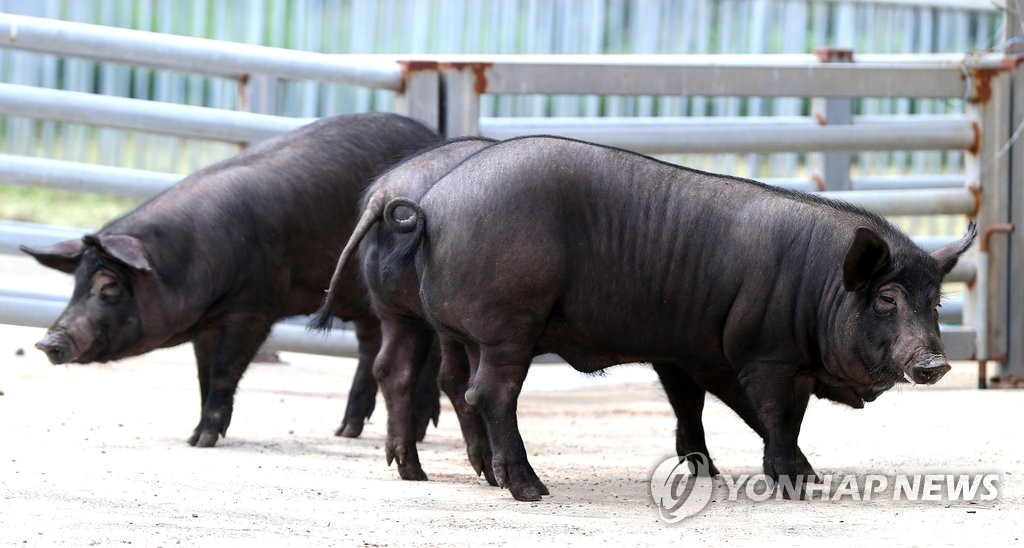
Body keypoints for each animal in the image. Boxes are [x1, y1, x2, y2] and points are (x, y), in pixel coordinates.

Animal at [20, 113, 444, 448]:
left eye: (109, 288)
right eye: (75, 286)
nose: (47, 342)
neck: (188, 260)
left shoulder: (253, 308)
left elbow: (225, 372)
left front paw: (204, 441)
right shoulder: (207, 324)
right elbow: (204, 376)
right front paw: (192, 438)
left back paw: (416, 431)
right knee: (371, 345)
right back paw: (345, 431)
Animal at [393, 137, 974, 501]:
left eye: (936, 303)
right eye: (887, 298)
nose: (935, 363)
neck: (818, 291)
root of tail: (433, 207)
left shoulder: (687, 353)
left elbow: (703, 407)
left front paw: (724, 472)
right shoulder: (765, 355)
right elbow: (775, 416)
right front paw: (792, 486)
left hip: (474, 335)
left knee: (468, 389)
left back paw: (495, 481)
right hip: (508, 327)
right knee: (492, 395)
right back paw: (531, 490)